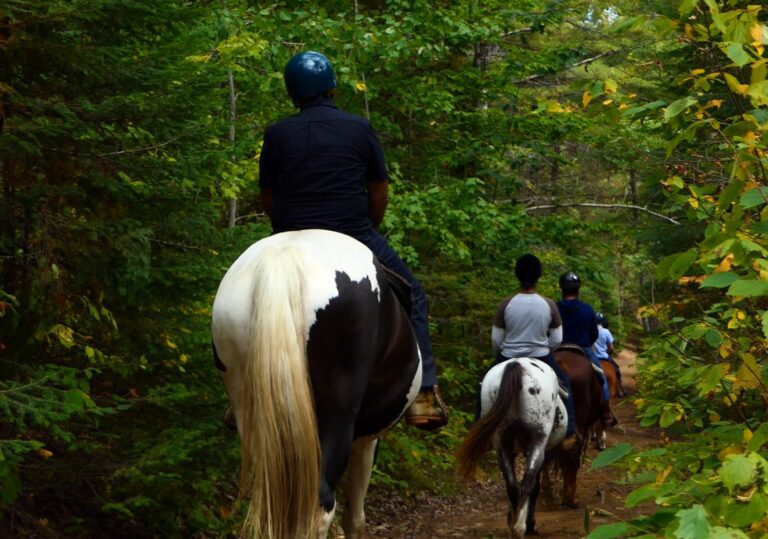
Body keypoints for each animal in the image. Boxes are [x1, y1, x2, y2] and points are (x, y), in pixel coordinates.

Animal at [210, 230, 420, 536]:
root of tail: (282, 258)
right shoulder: (367, 439)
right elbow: (355, 515)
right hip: (336, 416)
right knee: (319, 507)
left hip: (251, 415)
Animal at [456, 358, 564, 539]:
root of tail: (517, 365)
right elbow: (535, 487)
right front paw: (530, 524)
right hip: (537, 441)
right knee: (527, 482)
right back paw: (520, 527)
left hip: (501, 444)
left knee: (512, 485)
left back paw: (514, 527)